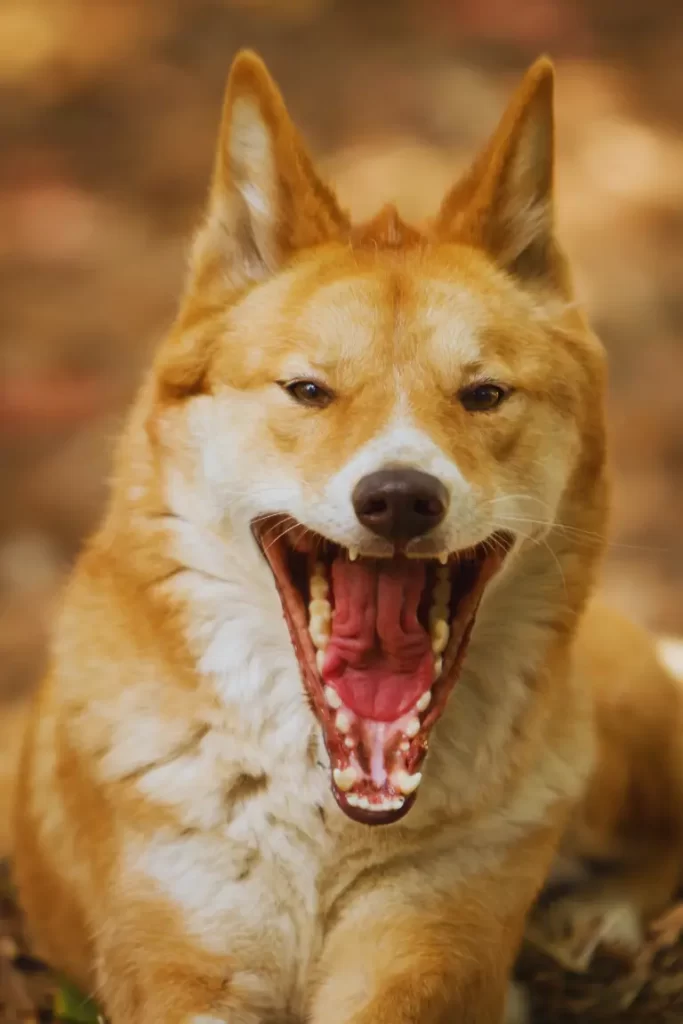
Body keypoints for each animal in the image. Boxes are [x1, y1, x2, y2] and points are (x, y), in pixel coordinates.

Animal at [12, 49, 679, 1024]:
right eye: (307, 390)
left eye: (482, 395)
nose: (399, 499)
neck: (325, 822)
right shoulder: (182, 963)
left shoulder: (425, 955)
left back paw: (599, 920)